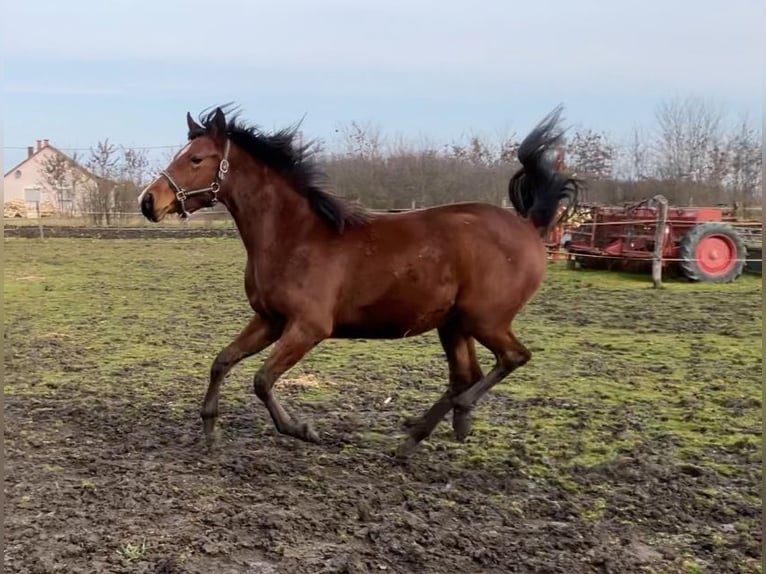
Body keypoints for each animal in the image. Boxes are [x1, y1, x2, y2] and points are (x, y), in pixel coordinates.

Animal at [138, 104, 584, 460]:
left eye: (197, 158)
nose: (148, 202)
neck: (293, 236)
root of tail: (528, 226)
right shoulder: (269, 320)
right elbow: (222, 361)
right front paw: (211, 431)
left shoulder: (309, 327)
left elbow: (262, 380)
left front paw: (302, 430)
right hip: (453, 325)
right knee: (464, 376)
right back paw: (415, 439)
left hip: (485, 320)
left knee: (511, 359)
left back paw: (461, 416)